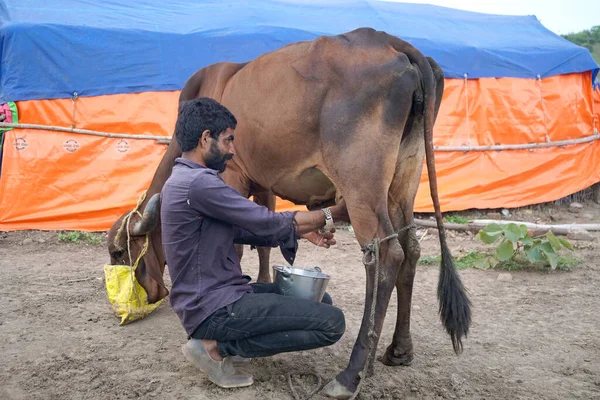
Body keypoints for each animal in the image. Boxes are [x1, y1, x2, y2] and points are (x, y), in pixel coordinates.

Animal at [109, 27, 474, 396]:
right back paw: (398, 350)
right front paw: (263, 281)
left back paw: (351, 374)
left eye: (119, 252)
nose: (144, 296)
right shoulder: (263, 183)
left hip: (362, 184)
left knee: (386, 255)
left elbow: (236, 245)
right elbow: (263, 240)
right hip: (403, 179)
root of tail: (392, 42)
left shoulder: (231, 173)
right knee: (411, 250)